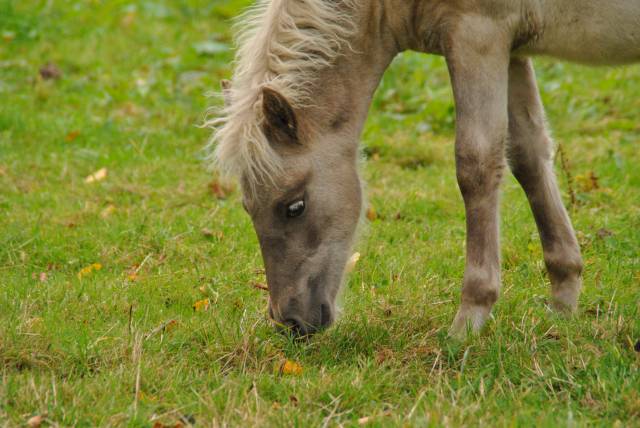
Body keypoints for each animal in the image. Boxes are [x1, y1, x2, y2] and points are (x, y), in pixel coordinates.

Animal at [207, 0, 640, 339]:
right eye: (248, 208)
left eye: (294, 206)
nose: (290, 322)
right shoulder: (513, 49)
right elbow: (528, 156)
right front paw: (563, 304)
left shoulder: (478, 36)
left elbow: (476, 164)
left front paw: (469, 320)